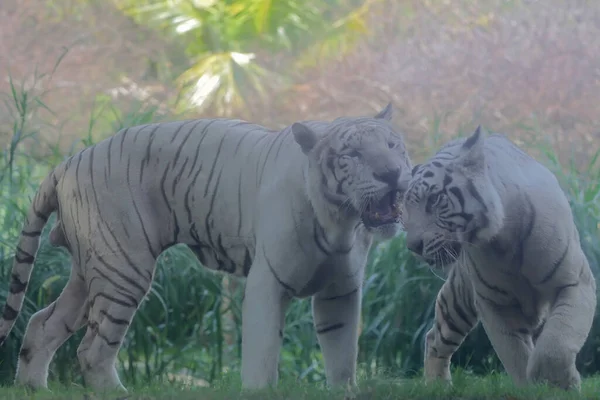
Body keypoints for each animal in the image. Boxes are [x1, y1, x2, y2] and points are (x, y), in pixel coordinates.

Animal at [0, 104, 412, 392]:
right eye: (353, 155)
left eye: (393, 145)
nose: (392, 173)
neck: (342, 221)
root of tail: (68, 162)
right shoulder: (267, 282)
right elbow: (263, 352)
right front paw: (259, 391)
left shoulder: (340, 290)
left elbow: (343, 354)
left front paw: (344, 391)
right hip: (123, 269)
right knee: (92, 349)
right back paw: (117, 392)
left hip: (92, 269)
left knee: (41, 323)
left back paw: (34, 388)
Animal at [404, 126, 596, 390]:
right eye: (406, 209)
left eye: (434, 199)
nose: (413, 246)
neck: (504, 240)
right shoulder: (495, 304)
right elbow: (515, 353)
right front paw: (532, 388)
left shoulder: (574, 282)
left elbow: (557, 341)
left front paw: (558, 384)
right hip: (459, 299)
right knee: (434, 337)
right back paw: (437, 387)